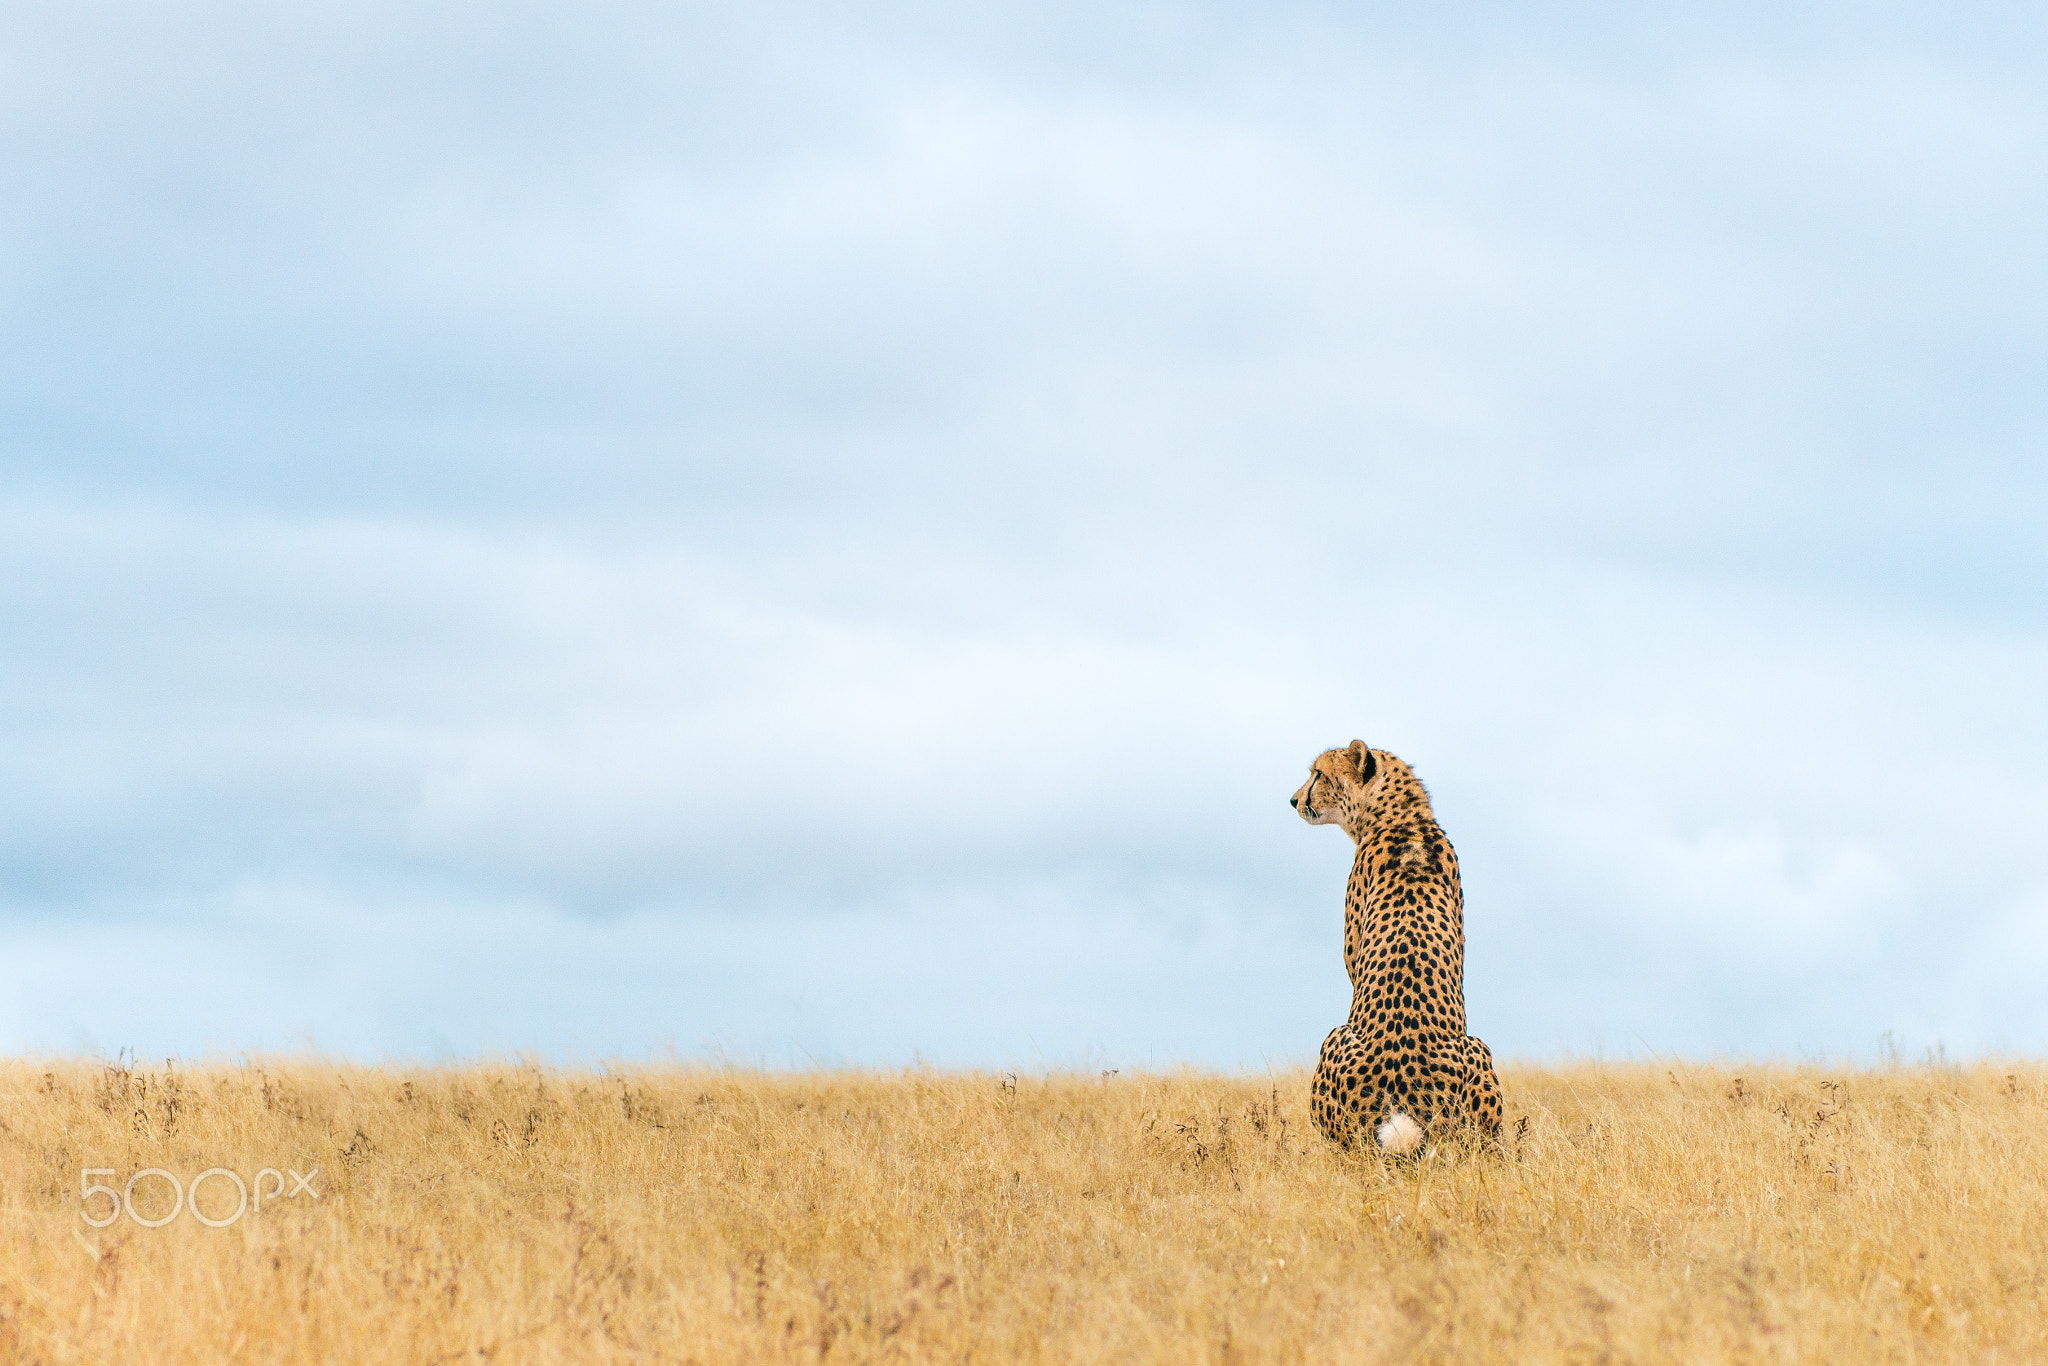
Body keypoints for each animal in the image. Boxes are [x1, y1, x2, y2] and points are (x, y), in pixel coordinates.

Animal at [1290, 740, 1502, 1154]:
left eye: (1318, 774)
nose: (1293, 800)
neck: (1402, 815)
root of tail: (1402, 1103)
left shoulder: (1352, 947)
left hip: (1337, 1039)